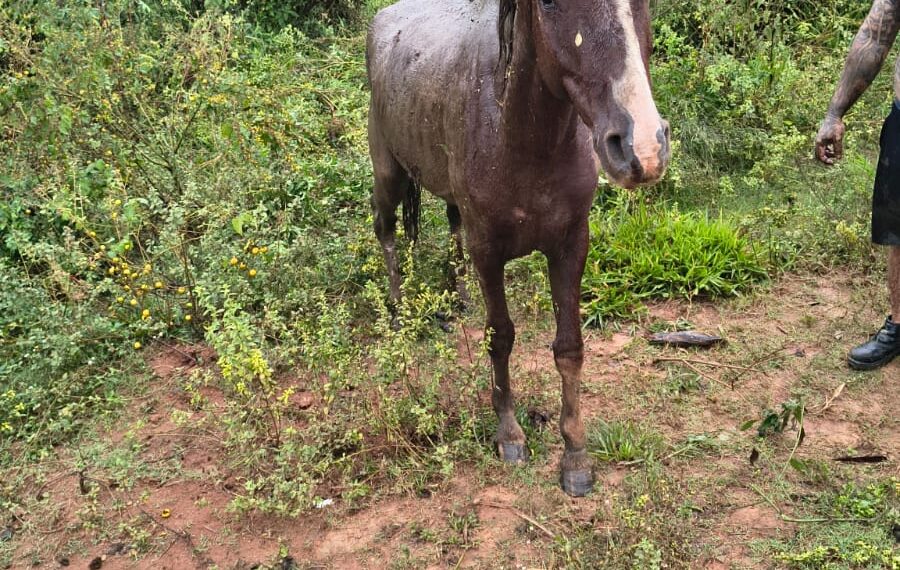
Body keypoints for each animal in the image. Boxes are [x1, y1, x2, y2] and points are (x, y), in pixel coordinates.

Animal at [366, 0, 669, 496]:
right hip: (388, 172)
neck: (519, 133)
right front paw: (509, 435)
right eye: (549, 4)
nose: (641, 147)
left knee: (450, 226)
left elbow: (569, 348)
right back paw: (397, 311)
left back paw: (457, 298)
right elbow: (500, 338)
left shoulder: (571, 246)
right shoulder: (488, 251)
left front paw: (575, 455)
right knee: (387, 232)